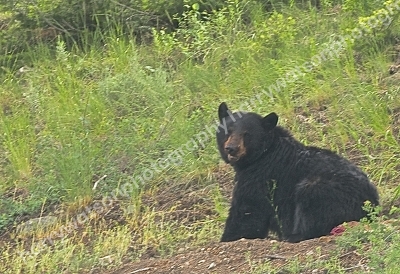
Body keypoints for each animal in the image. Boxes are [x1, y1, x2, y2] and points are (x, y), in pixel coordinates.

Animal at [217, 102, 380, 242]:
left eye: (247, 134)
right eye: (228, 130)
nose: (231, 148)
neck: (264, 153)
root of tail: (372, 202)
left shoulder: (260, 177)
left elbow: (246, 213)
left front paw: (229, 237)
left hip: (324, 189)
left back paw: (294, 235)